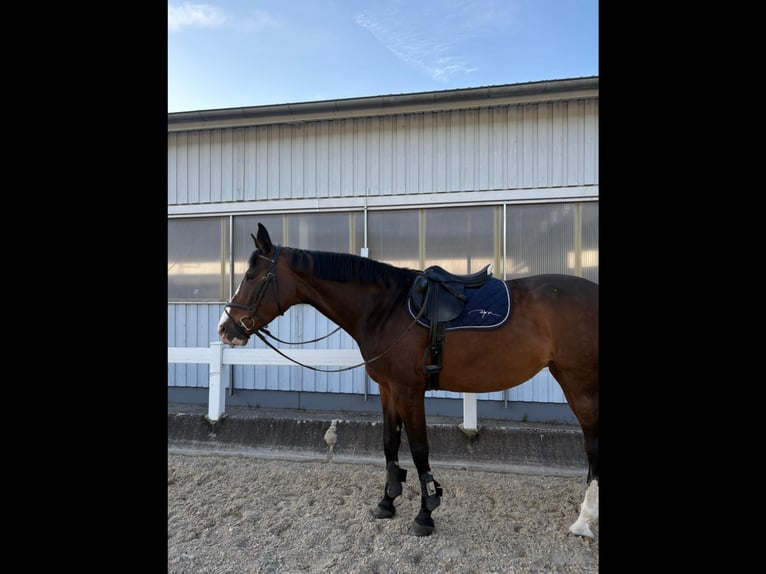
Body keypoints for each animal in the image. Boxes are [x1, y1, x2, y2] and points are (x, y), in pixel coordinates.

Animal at [218, 223, 599, 538]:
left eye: (251, 276)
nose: (225, 329)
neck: (386, 308)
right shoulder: (388, 389)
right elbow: (390, 443)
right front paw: (387, 503)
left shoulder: (409, 391)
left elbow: (418, 450)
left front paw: (425, 514)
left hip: (579, 384)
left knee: (592, 445)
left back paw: (583, 522)